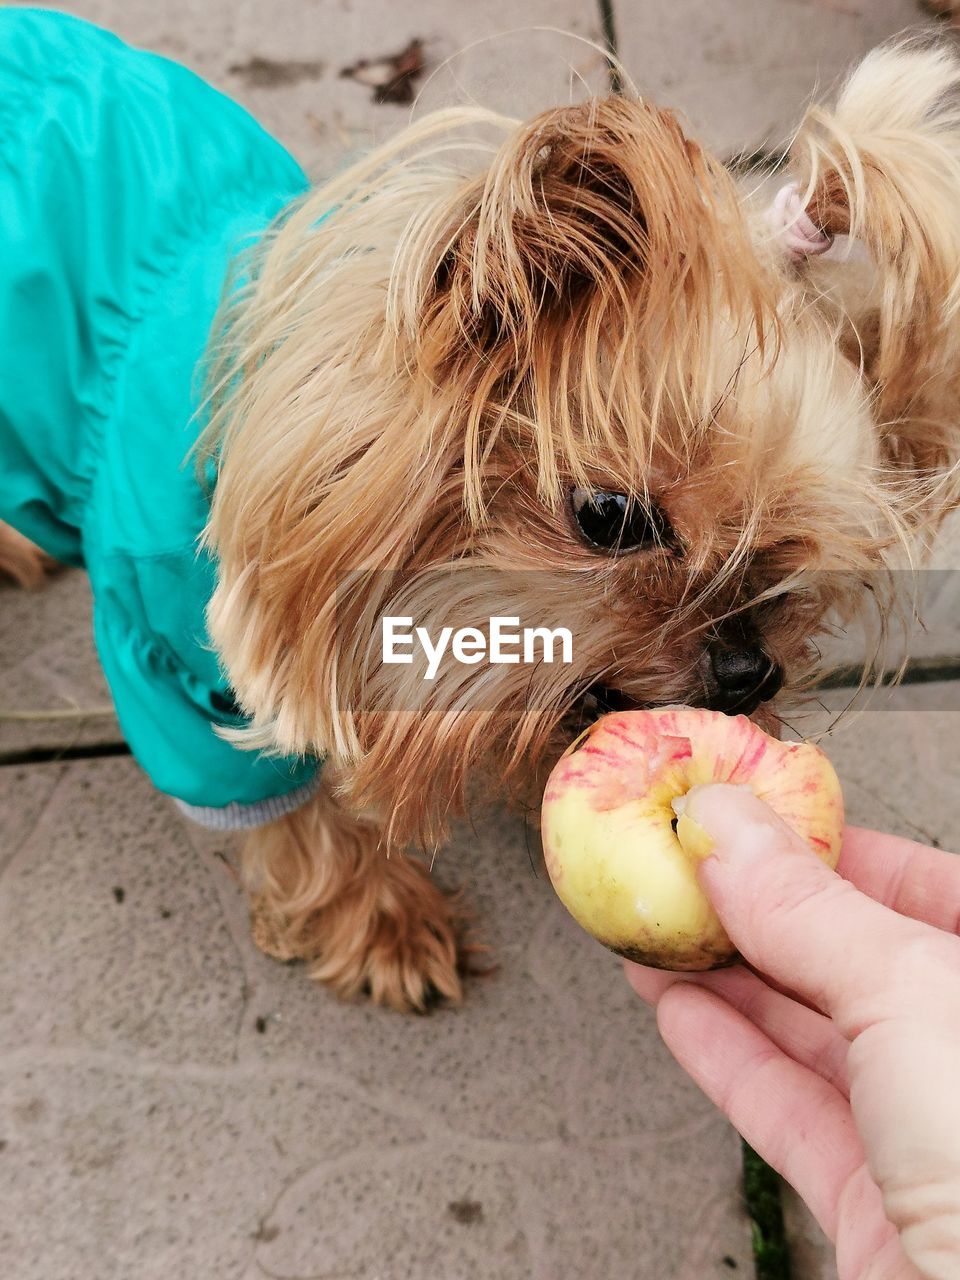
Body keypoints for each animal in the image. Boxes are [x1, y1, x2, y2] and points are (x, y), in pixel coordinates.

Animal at [1, 15, 960, 1008]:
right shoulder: (166, 662)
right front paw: (380, 920)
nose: (749, 671)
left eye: (792, 559)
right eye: (610, 517)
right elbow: (286, 811)